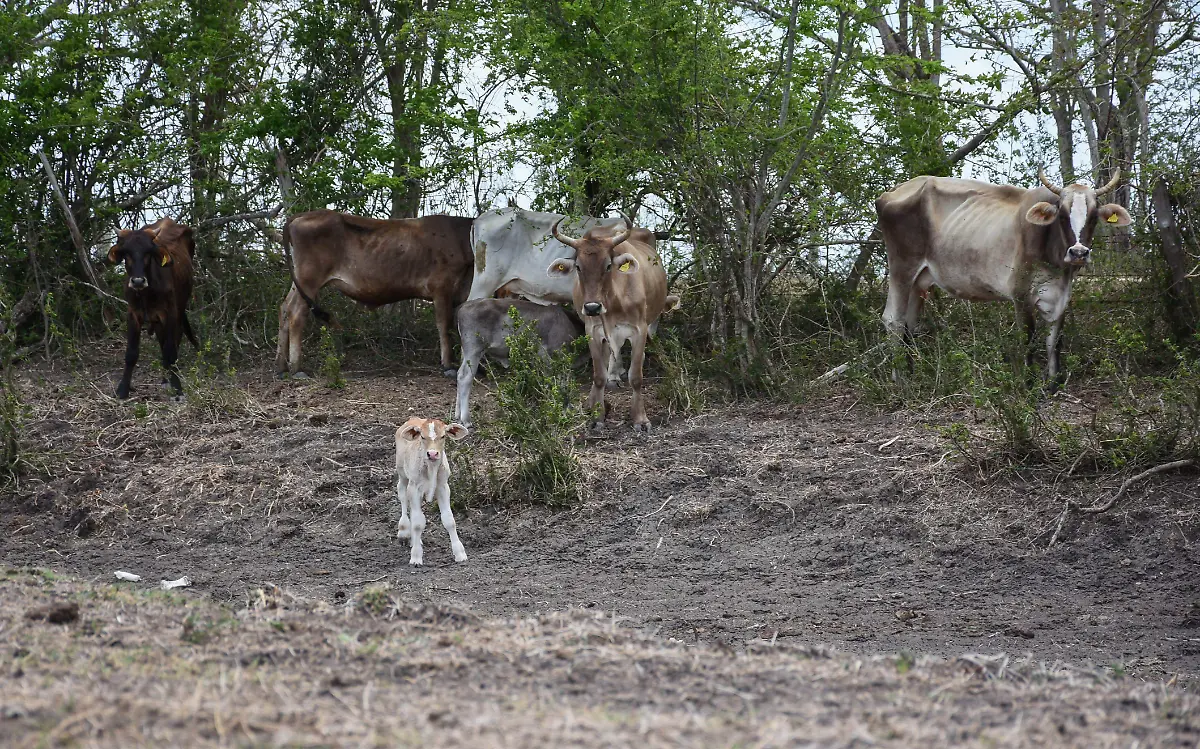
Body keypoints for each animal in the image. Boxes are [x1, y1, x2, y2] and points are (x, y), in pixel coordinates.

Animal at [106, 218, 198, 398]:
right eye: (126, 253)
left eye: (148, 253)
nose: (138, 281)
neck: (146, 294)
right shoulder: (133, 314)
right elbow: (131, 353)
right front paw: (122, 390)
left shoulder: (170, 313)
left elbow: (170, 350)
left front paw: (177, 388)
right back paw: (164, 378)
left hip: (179, 307)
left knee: (174, 340)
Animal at [276, 208, 472, 374]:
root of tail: (303, 215)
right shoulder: (442, 287)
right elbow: (445, 325)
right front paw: (448, 366)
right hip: (309, 279)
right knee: (296, 312)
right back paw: (296, 368)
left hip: (300, 280)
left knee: (285, 307)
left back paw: (281, 367)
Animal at [396, 415, 465, 566]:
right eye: (422, 436)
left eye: (443, 436)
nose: (432, 454)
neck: (431, 469)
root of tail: (413, 418)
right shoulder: (414, 487)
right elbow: (417, 523)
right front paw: (416, 557)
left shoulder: (443, 487)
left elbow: (449, 520)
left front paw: (460, 553)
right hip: (403, 474)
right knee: (402, 495)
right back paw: (404, 531)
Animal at [451, 298, 583, 427]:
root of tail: (464, 306)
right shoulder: (549, 356)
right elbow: (559, 383)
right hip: (474, 350)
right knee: (465, 376)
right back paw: (466, 420)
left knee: (459, 373)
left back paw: (457, 415)